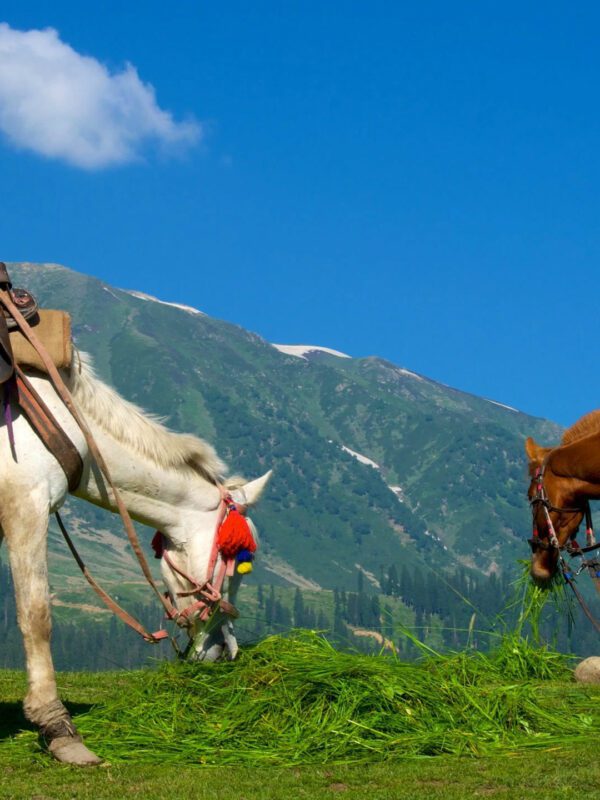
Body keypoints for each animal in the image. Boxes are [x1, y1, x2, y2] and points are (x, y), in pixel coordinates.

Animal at [0, 354, 272, 764]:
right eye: (240, 562)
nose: (225, 650)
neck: (64, 414)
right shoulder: (25, 506)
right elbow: (36, 616)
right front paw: (55, 724)